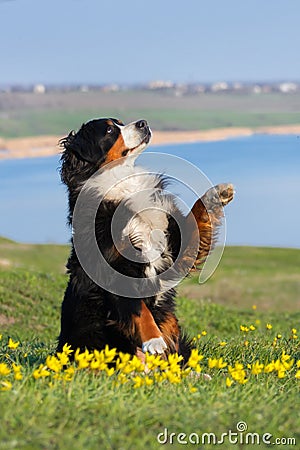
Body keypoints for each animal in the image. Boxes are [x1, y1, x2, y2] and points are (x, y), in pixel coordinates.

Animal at [56, 118, 234, 362]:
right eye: (110, 130)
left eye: (121, 122)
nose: (143, 123)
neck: (121, 185)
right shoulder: (115, 270)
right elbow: (139, 310)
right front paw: (154, 340)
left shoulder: (174, 243)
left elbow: (195, 217)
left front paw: (217, 193)